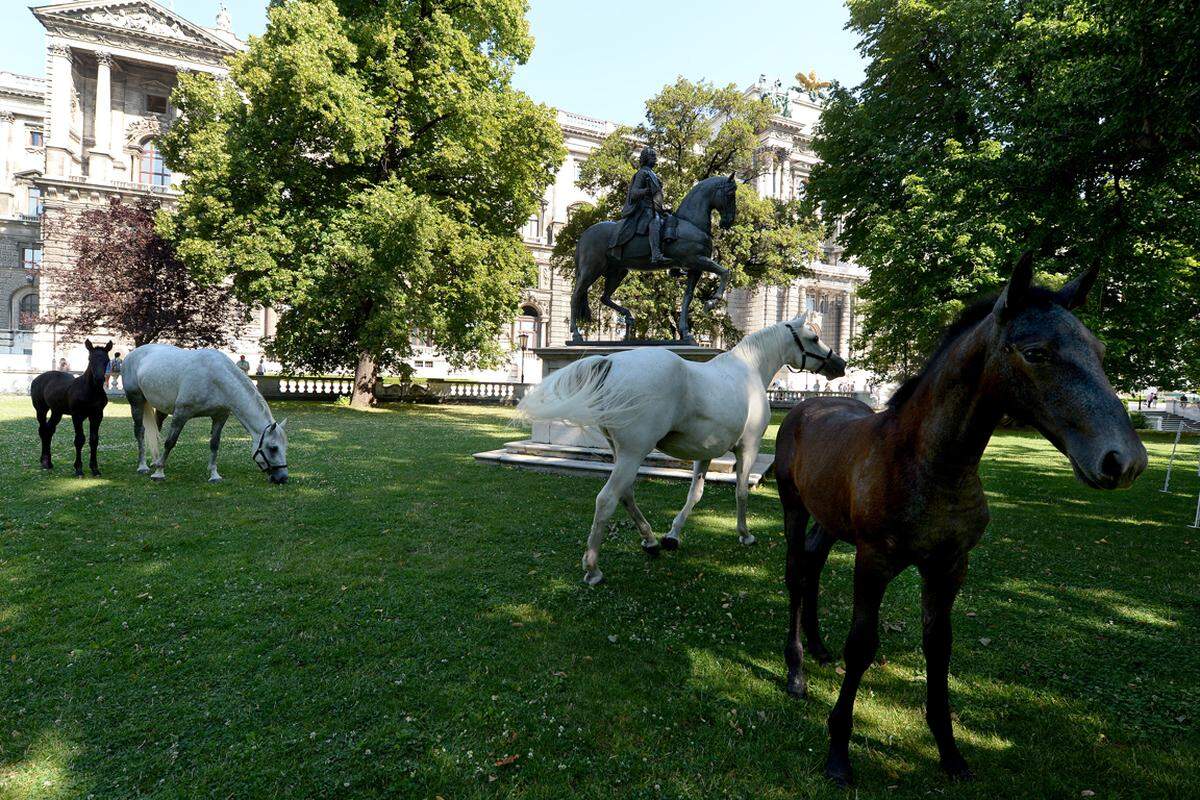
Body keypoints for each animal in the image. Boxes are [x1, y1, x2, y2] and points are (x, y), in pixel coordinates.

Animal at [30, 338, 112, 474]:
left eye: (107, 360)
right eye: (90, 359)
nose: (99, 379)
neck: (91, 390)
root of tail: (37, 378)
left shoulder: (97, 415)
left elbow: (94, 440)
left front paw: (95, 469)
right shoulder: (77, 415)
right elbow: (79, 439)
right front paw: (78, 469)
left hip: (57, 411)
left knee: (49, 430)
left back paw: (49, 462)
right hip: (41, 409)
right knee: (42, 430)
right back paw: (44, 462)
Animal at [120, 343, 290, 482]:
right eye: (273, 448)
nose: (282, 478)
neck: (215, 378)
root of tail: (131, 354)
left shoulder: (220, 417)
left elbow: (214, 444)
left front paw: (214, 475)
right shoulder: (181, 414)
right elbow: (170, 442)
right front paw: (159, 473)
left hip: (160, 408)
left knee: (156, 431)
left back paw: (155, 460)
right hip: (136, 401)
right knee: (140, 431)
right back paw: (143, 466)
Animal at [520, 314, 849, 587]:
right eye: (813, 337)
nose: (840, 364)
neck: (749, 370)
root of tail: (612, 363)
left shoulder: (705, 452)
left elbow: (695, 494)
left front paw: (672, 536)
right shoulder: (748, 448)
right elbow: (741, 492)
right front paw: (744, 534)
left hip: (621, 453)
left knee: (626, 494)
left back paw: (651, 541)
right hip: (633, 453)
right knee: (607, 500)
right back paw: (593, 568)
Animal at [772, 253, 1147, 786]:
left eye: (1099, 349)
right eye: (1035, 352)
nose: (1124, 460)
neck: (931, 463)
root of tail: (807, 406)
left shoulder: (949, 567)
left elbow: (940, 647)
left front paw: (949, 752)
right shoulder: (874, 561)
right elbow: (862, 646)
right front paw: (839, 752)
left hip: (829, 520)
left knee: (812, 566)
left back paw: (818, 646)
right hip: (794, 508)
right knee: (794, 575)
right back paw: (797, 672)